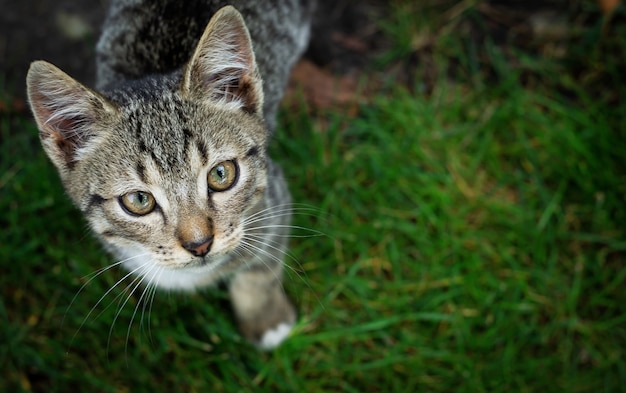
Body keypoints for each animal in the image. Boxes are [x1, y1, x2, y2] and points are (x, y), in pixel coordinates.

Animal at [26, 0, 314, 350]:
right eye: (139, 200)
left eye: (221, 174)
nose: (200, 244)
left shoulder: (274, 200)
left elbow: (261, 269)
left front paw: (266, 319)